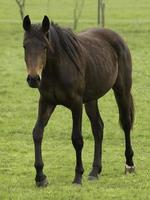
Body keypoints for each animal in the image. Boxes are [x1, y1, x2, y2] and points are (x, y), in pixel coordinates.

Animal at [22, 15, 135, 186]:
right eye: (25, 46)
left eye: (45, 47)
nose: (34, 79)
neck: (57, 69)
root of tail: (117, 38)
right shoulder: (46, 102)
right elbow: (37, 133)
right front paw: (40, 177)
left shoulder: (76, 104)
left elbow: (77, 139)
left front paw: (77, 176)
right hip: (91, 99)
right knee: (98, 128)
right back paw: (95, 171)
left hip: (122, 90)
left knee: (126, 123)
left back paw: (129, 165)